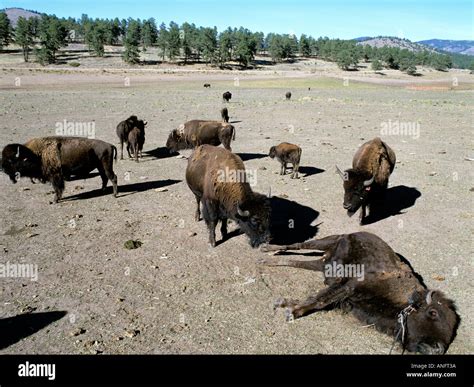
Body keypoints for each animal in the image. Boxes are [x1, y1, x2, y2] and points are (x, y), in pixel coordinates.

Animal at [260, 232, 460, 356]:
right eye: (433, 312)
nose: (437, 349)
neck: (402, 296)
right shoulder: (350, 286)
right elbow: (320, 299)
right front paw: (293, 311)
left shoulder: (345, 296)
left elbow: (322, 298)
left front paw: (288, 304)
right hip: (327, 241)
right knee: (299, 245)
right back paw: (265, 250)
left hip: (321, 264)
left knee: (297, 261)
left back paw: (267, 260)